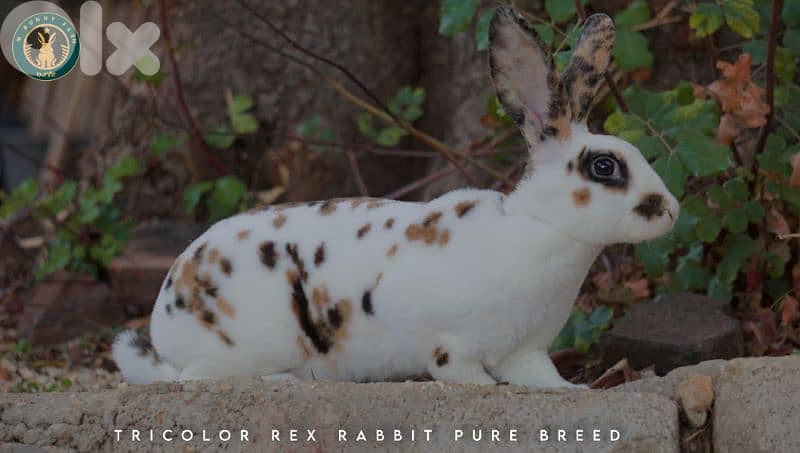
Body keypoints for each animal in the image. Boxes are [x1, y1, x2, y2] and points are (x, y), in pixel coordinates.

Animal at [113, 7, 678, 388]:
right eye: (604, 167)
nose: (671, 209)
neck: (542, 227)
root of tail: (165, 313)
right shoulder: (455, 346)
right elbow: (464, 373)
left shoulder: (527, 351)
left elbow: (541, 380)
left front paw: (574, 389)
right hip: (246, 346)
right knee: (195, 378)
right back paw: (287, 380)